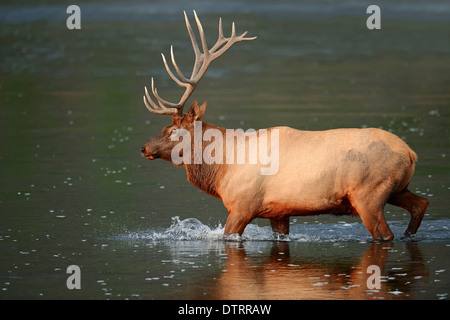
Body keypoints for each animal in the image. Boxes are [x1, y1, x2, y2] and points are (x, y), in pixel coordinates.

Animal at [141, 10, 428, 240]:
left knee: (385, 234)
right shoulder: (277, 212)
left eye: (173, 130)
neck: (222, 167)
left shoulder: (242, 206)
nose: (144, 147)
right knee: (421, 203)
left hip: (368, 195)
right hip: (396, 189)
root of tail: (410, 153)